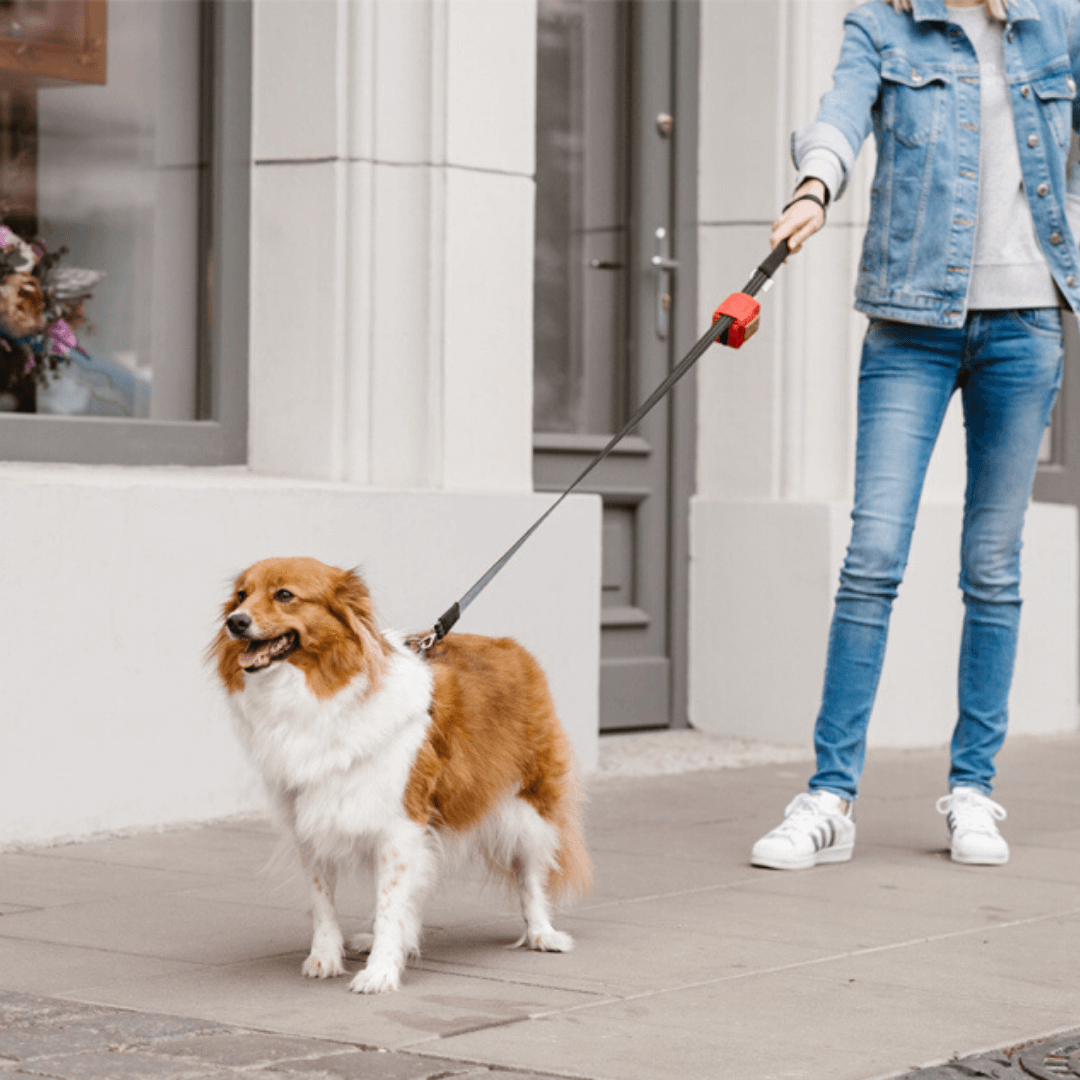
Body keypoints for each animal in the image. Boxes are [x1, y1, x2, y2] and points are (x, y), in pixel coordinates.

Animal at [208, 557, 591, 993]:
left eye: (284, 595)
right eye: (241, 596)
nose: (235, 622)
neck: (318, 691)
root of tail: (512, 647)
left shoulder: (400, 823)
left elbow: (392, 903)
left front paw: (381, 971)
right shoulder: (313, 821)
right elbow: (325, 902)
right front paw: (325, 957)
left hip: (528, 805)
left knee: (530, 873)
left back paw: (542, 933)